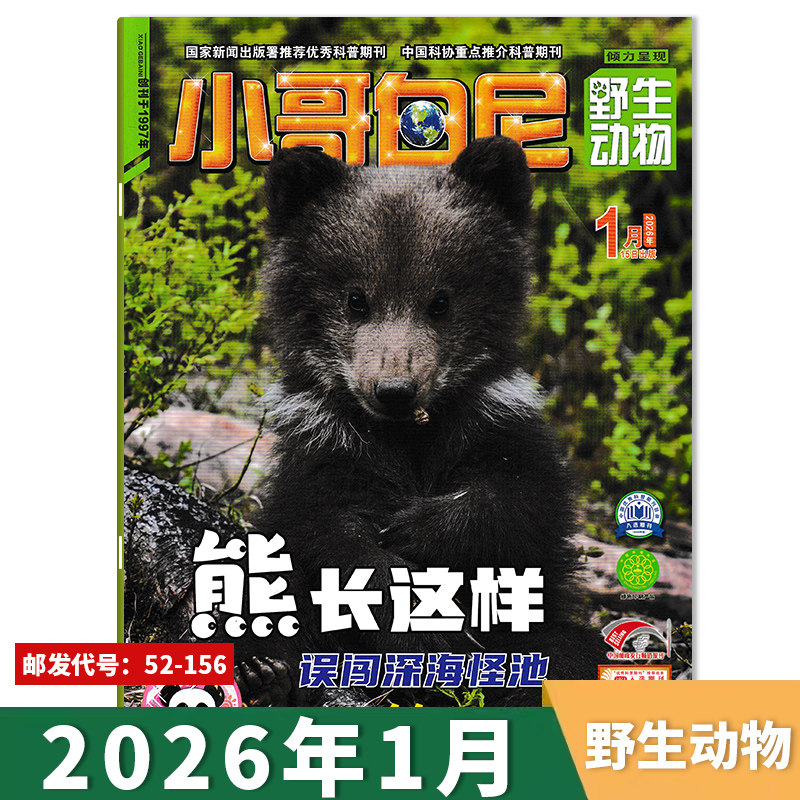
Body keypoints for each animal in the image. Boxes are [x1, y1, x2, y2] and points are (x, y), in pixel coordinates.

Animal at [233, 136, 605, 707]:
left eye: (441, 300)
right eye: (355, 298)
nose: (394, 390)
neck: (408, 437)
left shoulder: (495, 422)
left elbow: (523, 503)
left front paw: (417, 528)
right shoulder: (326, 448)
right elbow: (326, 533)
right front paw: (418, 625)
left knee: (568, 653)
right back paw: (267, 670)